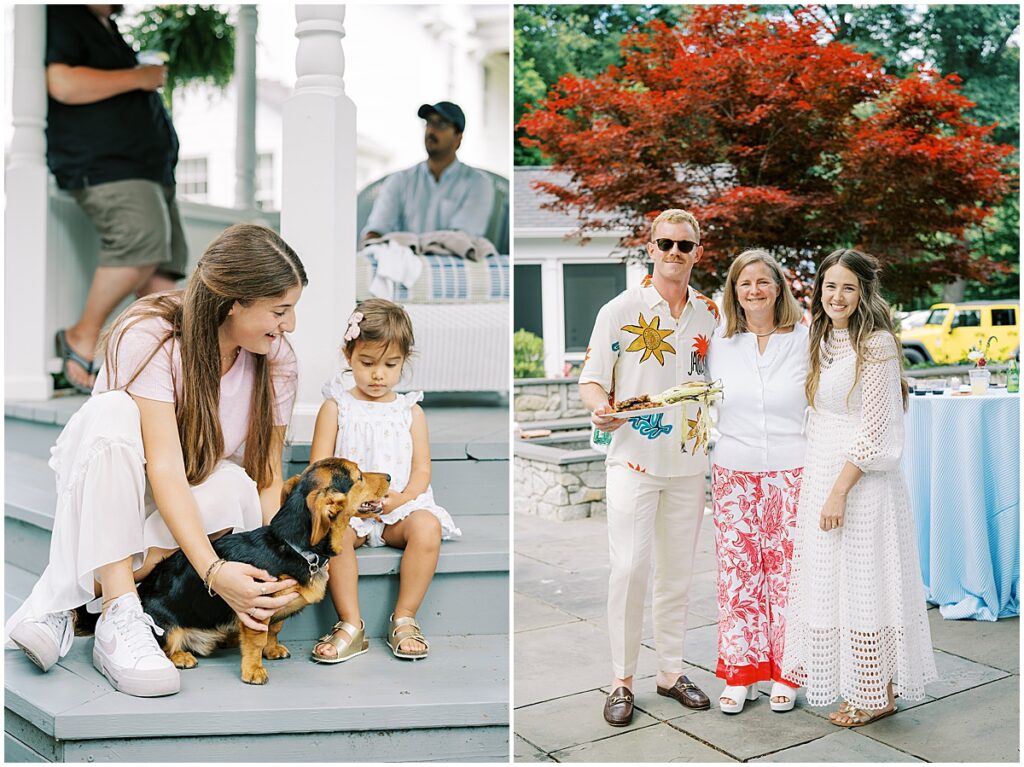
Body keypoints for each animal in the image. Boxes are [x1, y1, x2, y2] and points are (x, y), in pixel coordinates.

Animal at [136, 458, 387, 684]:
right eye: (359, 476)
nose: (389, 477)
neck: (293, 546)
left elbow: (274, 628)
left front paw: (272, 649)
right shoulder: (256, 607)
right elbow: (256, 640)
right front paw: (253, 670)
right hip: (164, 626)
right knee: (165, 647)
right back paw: (181, 656)